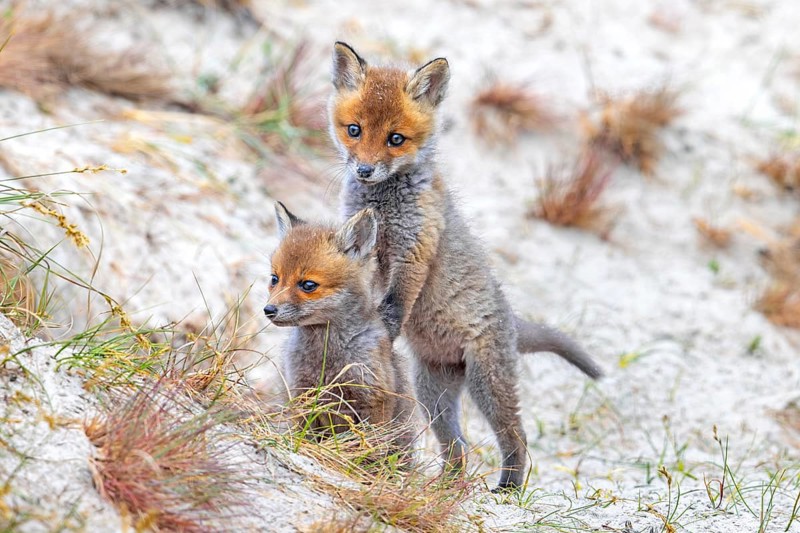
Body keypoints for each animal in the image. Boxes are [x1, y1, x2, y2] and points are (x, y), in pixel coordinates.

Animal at [264, 202, 416, 451]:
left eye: (308, 285)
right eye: (274, 279)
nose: (269, 310)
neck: (327, 357)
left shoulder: (373, 400)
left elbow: (370, 449)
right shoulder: (301, 393)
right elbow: (301, 436)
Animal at [329, 42, 603, 490]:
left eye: (395, 139)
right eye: (354, 130)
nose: (365, 170)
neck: (383, 205)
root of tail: (511, 322)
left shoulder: (414, 249)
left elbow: (396, 302)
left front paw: (383, 328)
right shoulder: (366, 251)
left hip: (485, 384)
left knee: (515, 435)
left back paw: (508, 489)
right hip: (434, 393)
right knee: (459, 448)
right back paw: (445, 487)